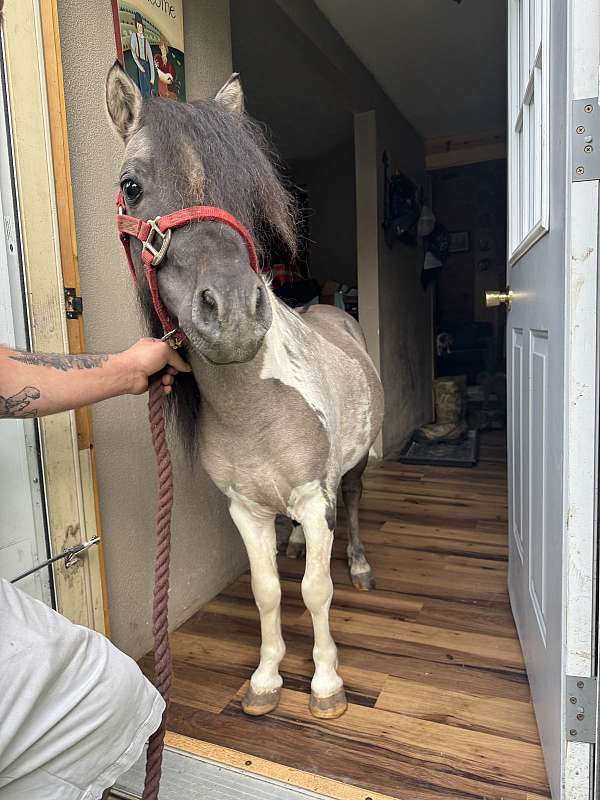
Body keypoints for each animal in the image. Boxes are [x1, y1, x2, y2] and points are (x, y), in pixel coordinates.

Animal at [105, 64, 384, 720]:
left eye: (247, 193)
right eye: (131, 186)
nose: (231, 314)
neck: (253, 410)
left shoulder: (313, 494)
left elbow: (316, 590)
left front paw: (326, 685)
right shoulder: (246, 510)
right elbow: (265, 591)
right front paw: (265, 680)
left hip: (357, 465)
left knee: (354, 505)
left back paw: (360, 564)